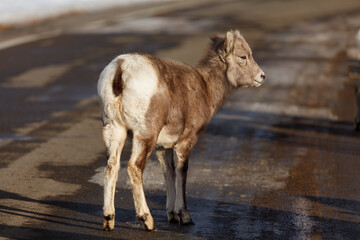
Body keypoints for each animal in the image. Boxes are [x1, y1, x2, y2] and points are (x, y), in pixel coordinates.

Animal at [97, 29, 266, 231]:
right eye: (243, 56)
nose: (262, 76)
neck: (205, 88)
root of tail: (121, 69)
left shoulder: (163, 148)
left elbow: (169, 173)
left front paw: (171, 215)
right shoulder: (186, 142)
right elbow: (181, 173)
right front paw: (184, 217)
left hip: (115, 129)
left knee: (112, 166)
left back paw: (109, 219)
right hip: (144, 135)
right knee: (134, 167)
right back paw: (147, 220)